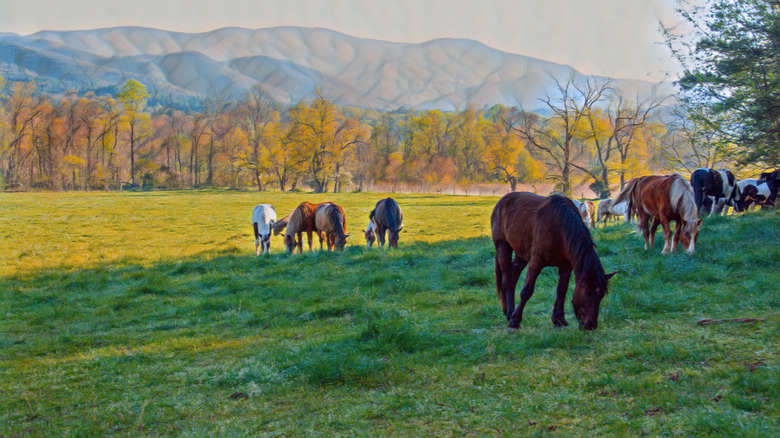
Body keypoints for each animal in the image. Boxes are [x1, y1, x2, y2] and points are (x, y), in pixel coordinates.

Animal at [491, 192, 615, 330]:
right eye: (587, 293)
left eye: (601, 295)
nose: (590, 325)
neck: (559, 226)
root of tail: (501, 201)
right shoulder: (536, 261)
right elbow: (526, 291)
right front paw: (515, 321)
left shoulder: (566, 266)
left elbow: (562, 290)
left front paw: (559, 319)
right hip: (503, 246)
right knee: (507, 280)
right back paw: (510, 313)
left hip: (521, 254)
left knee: (513, 277)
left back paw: (508, 311)